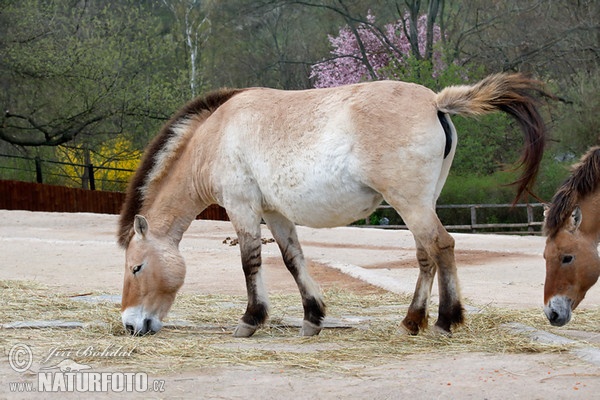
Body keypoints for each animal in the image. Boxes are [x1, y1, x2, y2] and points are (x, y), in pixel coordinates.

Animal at [116, 73, 548, 336]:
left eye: (137, 267)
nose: (131, 325)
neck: (216, 135)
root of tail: (436, 103)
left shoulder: (243, 208)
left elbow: (250, 261)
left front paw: (251, 320)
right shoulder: (274, 213)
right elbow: (293, 260)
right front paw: (312, 317)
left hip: (411, 205)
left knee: (441, 247)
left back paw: (444, 321)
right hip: (420, 205)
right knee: (426, 255)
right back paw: (412, 321)